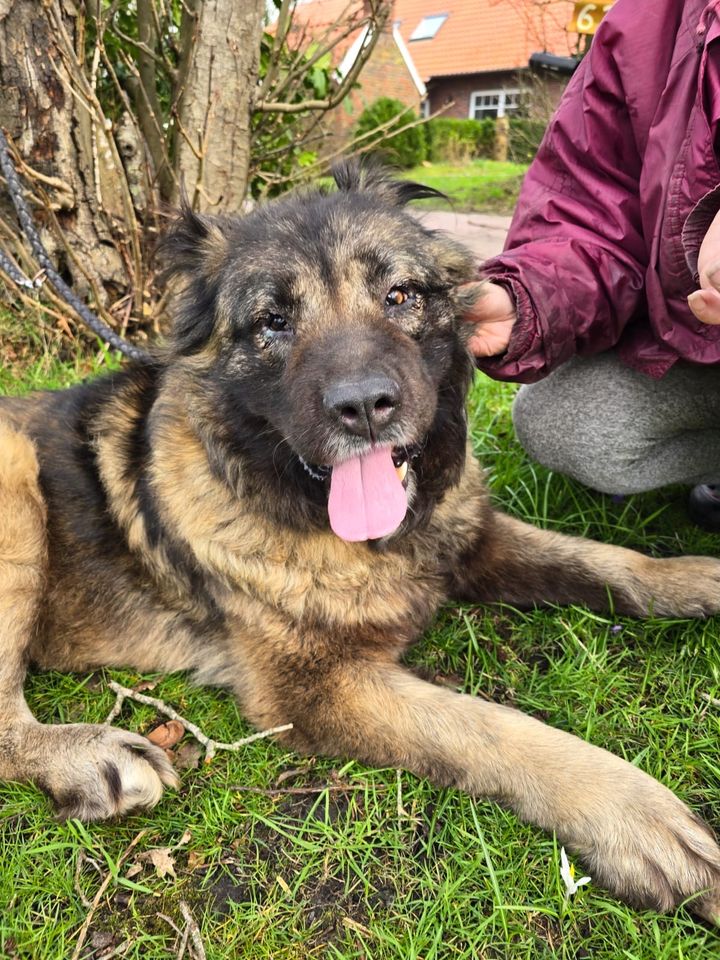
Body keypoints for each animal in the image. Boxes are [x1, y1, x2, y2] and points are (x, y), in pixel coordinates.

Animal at [1, 165, 720, 924]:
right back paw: (89, 759)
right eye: (273, 321)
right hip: (15, 470)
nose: (365, 408)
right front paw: (633, 815)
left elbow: (610, 561)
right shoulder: (322, 688)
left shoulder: (473, 541)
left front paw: (693, 577)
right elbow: (496, 728)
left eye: (399, 295)